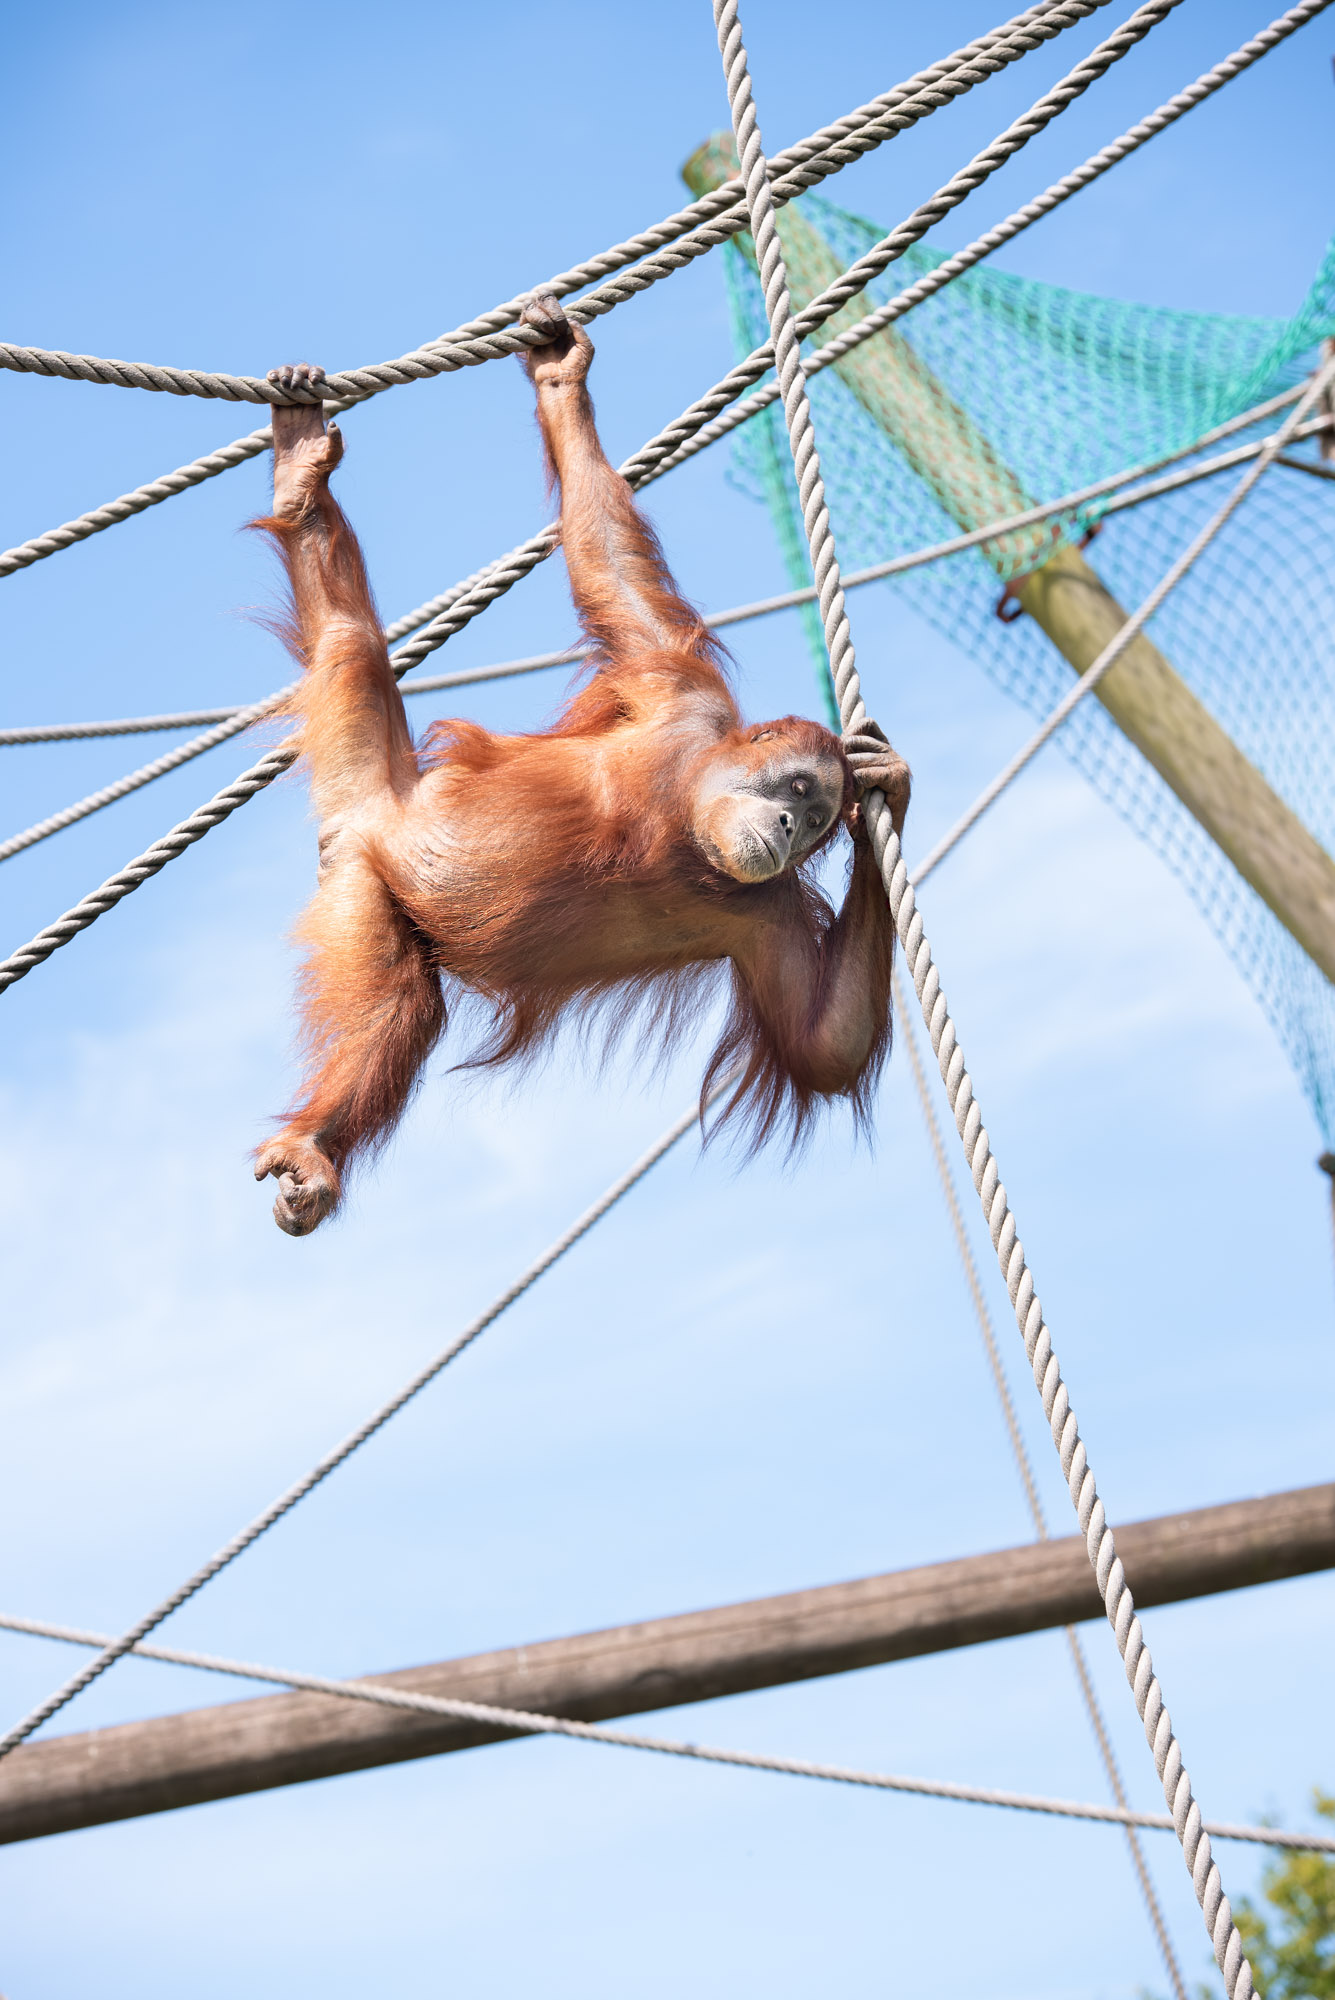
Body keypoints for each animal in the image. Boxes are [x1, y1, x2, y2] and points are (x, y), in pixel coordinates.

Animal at [251, 296, 909, 1235]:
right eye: (795, 790)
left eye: (815, 819)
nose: (791, 824)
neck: (680, 822)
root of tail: (371, 810)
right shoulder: (682, 694)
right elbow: (609, 561)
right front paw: (563, 377)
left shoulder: (770, 908)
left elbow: (826, 1041)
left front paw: (887, 790)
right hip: (365, 861)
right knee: (351, 646)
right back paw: (303, 480)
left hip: (363, 876)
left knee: (401, 1006)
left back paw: (319, 1151)